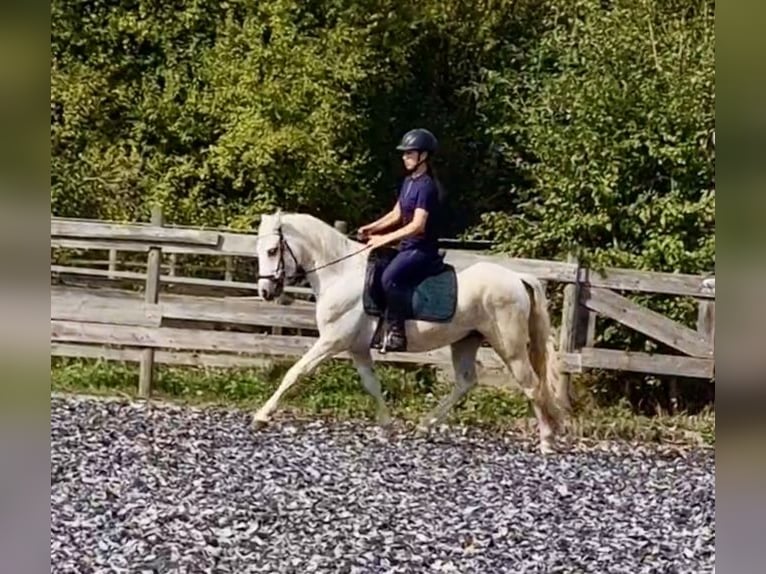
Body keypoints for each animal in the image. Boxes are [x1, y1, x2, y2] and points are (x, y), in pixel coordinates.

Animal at [252, 212, 568, 454]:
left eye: (272, 251)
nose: (265, 292)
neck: (341, 274)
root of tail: (518, 277)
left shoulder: (332, 341)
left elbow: (295, 373)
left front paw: (261, 416)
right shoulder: (357, 348)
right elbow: (371, 384)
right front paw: (386, 426)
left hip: (510, 347)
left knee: (532, 385)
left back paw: (546, 441)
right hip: (466, 340)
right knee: (466, 381)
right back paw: (425, 426)